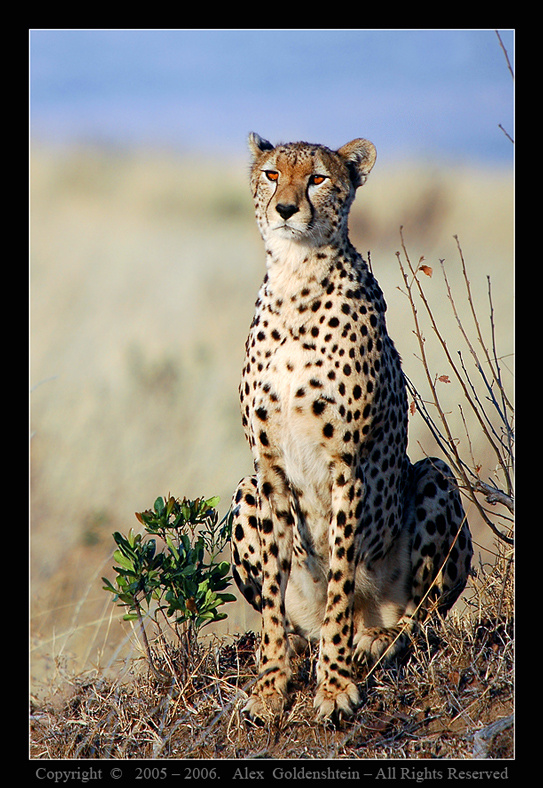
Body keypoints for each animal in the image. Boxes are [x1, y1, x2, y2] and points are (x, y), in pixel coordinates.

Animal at [231, 132, 473, 722]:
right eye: (271, 173)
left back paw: (377, 639)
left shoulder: (349, 465)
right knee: (299, 618)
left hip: (435, 478)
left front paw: (336, 684)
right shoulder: (268, 469)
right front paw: (272, 684)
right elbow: (272, 599)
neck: (296, 282)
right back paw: (301, 647)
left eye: (318, 178)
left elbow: (340, 578)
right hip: (245, 491)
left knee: (422, 616)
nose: (286, 208)